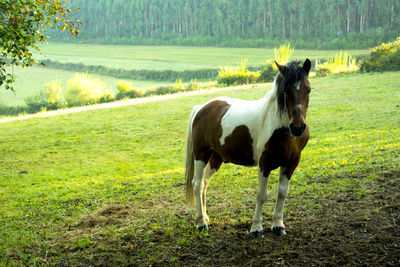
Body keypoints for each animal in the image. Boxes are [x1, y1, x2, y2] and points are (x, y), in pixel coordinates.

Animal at [184, 59, 312, 239]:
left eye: (308, 90)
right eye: (286, 90)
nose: (298, 127)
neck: (282, 130)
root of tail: (202, 108)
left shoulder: (291, 163)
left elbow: (282, 193)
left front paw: (278, 226)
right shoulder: (264, 164)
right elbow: (262, 195)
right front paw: (257, 228)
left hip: (216, 158)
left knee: (205, 183)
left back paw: (205, 217)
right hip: (201, 154)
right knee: (197, 184)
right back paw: (201, 223)